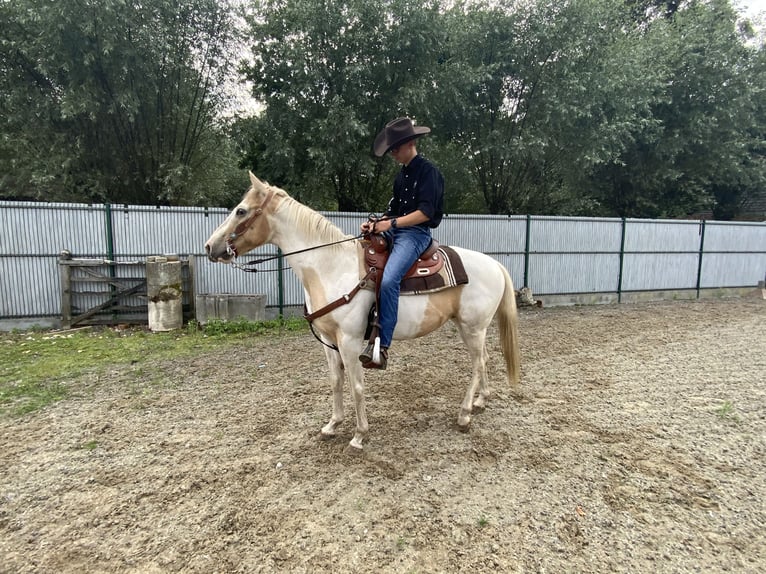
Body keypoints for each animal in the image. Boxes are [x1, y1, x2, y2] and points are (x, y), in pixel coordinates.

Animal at [206, 173, 520, 452]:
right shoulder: (328, 341)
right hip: (469, 328)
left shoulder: (350, 340)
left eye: (241, 211)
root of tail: (496, 265)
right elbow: (336, 381)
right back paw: (480, 401)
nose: (210, 247)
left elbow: (356, 385)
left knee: (477, 363)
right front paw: (332, 425)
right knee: (484, 359)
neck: (330, 266)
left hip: (473, 327)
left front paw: (359, 435)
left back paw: (464, 414)